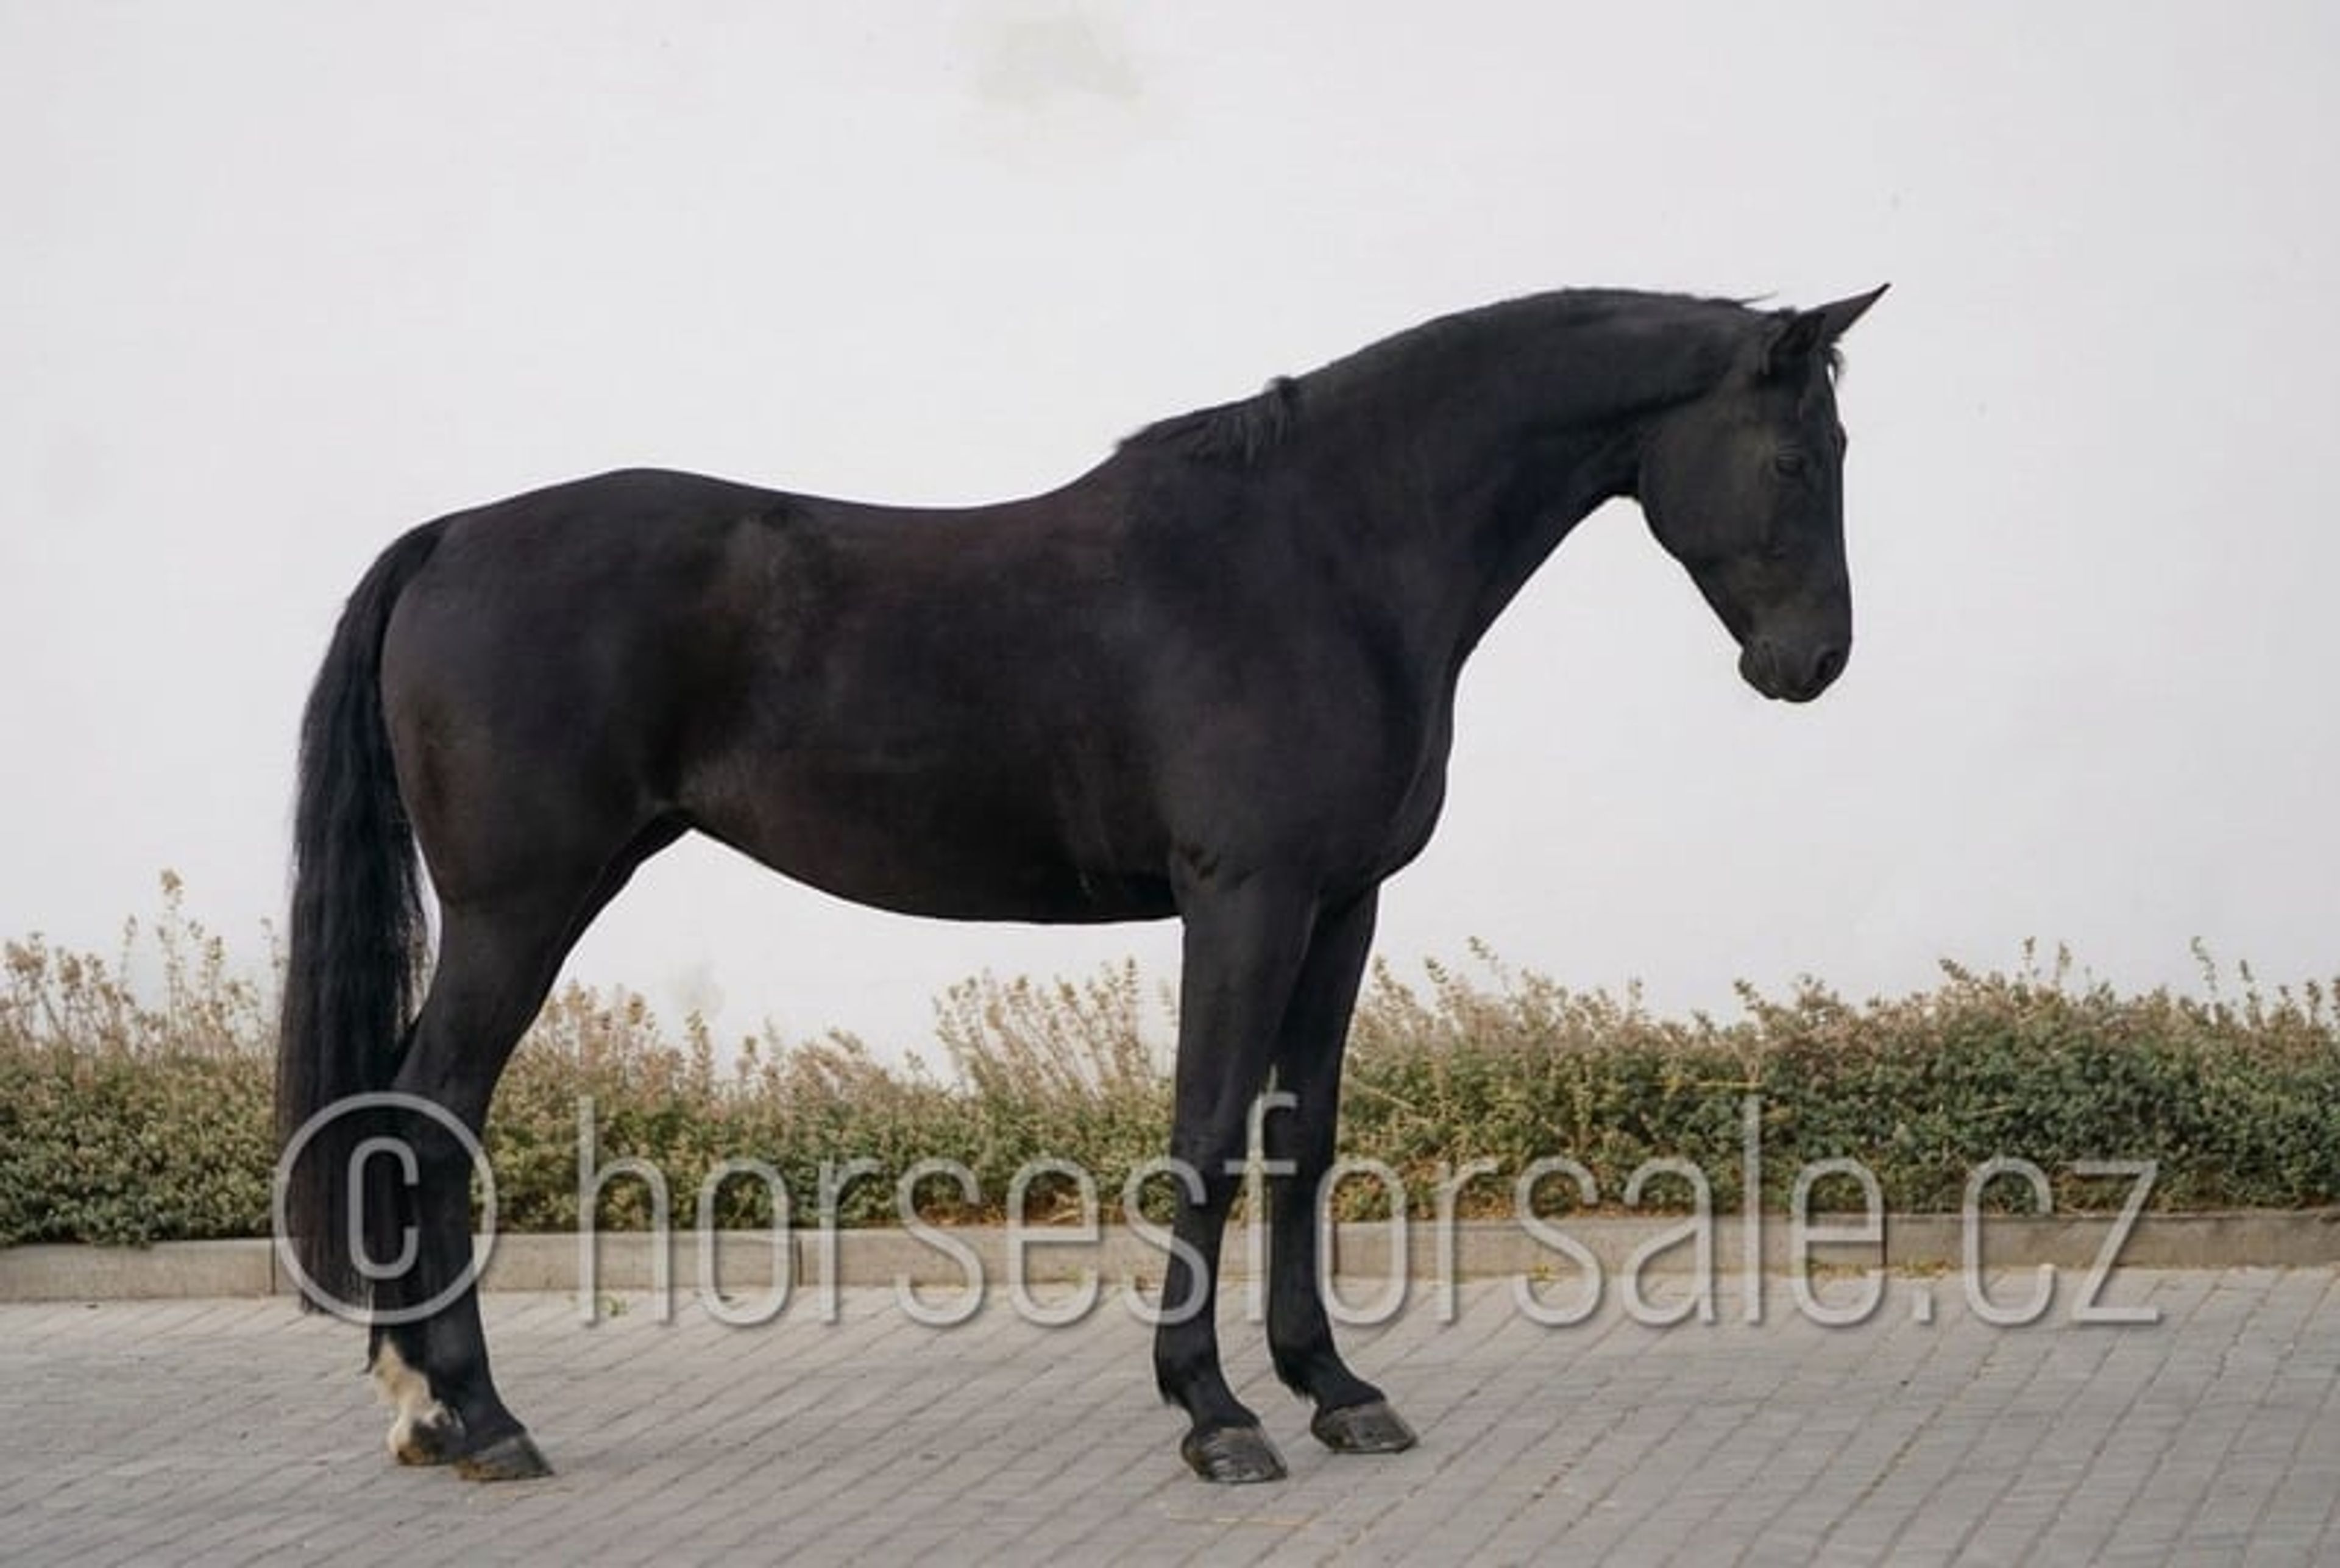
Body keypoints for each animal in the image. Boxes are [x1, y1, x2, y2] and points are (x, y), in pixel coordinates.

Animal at [275, 284, 1886, 1485]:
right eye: (1797, 457)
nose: (1811, 662)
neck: (1325, 555)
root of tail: (451, 538)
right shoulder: (1246, 898)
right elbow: (1207, 1135)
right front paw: (1215, 1412)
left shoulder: (1341, 905)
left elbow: (1299, 1142)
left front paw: (1335, 1385)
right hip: (520, 907)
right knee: (425, 1117)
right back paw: (475, 1414)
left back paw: (428, 1408)